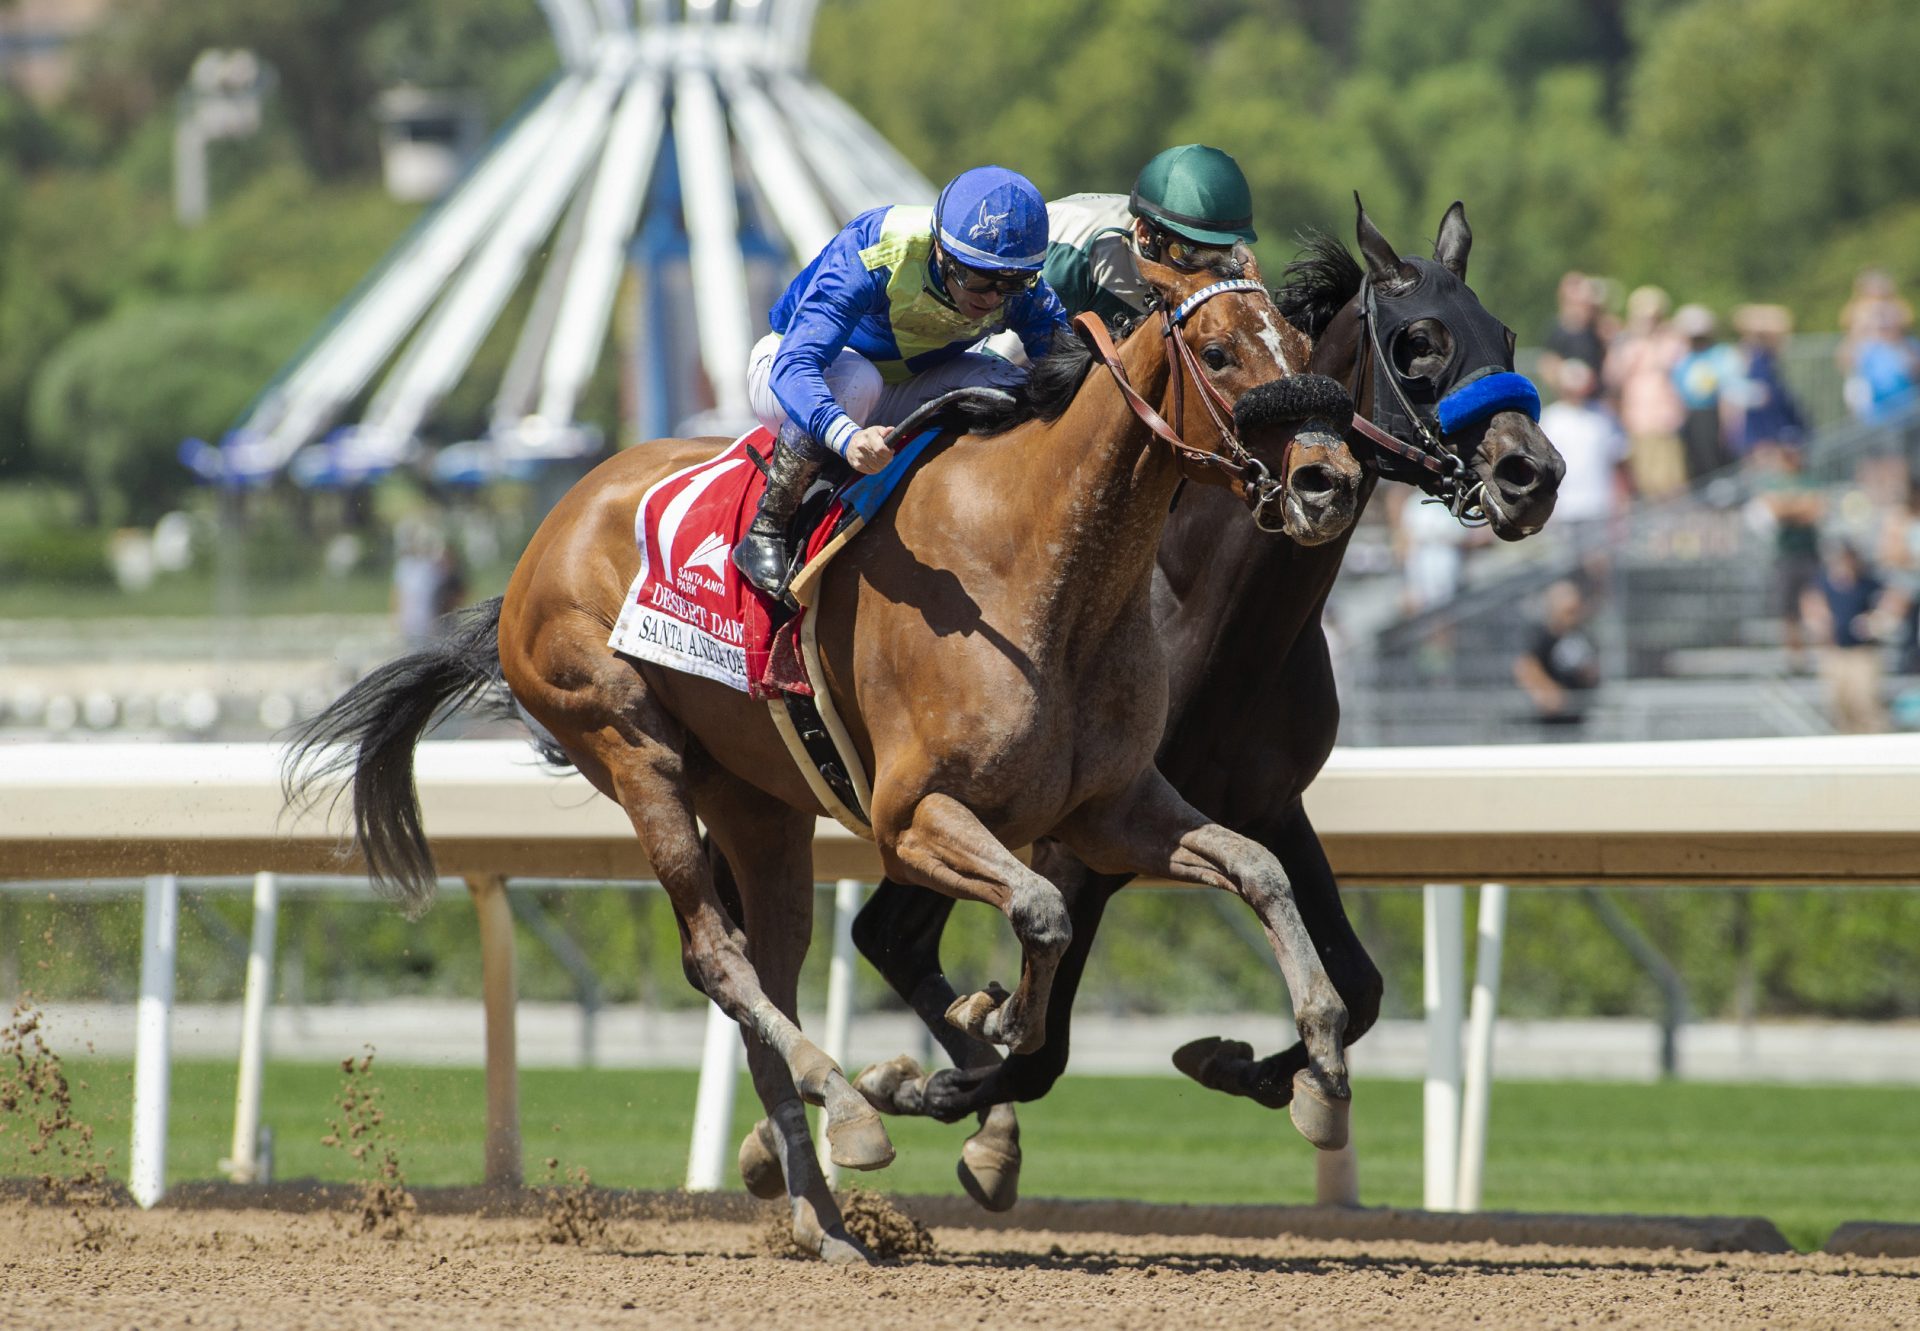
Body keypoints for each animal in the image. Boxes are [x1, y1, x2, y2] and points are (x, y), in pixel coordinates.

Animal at [284, 253, 1367, 1259]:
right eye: (1218, 353)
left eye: (1301, 346)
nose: (1328, 481)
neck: (1039, 568)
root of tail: (547, 530)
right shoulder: (915, 818)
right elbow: (1042, 911)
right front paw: (988, 1029)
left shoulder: (1114, 809)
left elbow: (1257, 868)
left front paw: (1319, 1069)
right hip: (629, 744)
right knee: (718, 955)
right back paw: (849, 1109)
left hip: (759, 806)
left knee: (762, 969)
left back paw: (825, 1212)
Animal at [840, 202, 1559, 1206]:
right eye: (1419, 342)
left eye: (1507, 335)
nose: (1535, 473)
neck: (1211, 618)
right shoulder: (1076, 835)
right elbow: (1043, 1048)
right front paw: (931, 1085)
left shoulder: (1266, 803)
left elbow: (1360, 983)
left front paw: (1258, 1069)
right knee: (895, 936)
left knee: (890, 935)